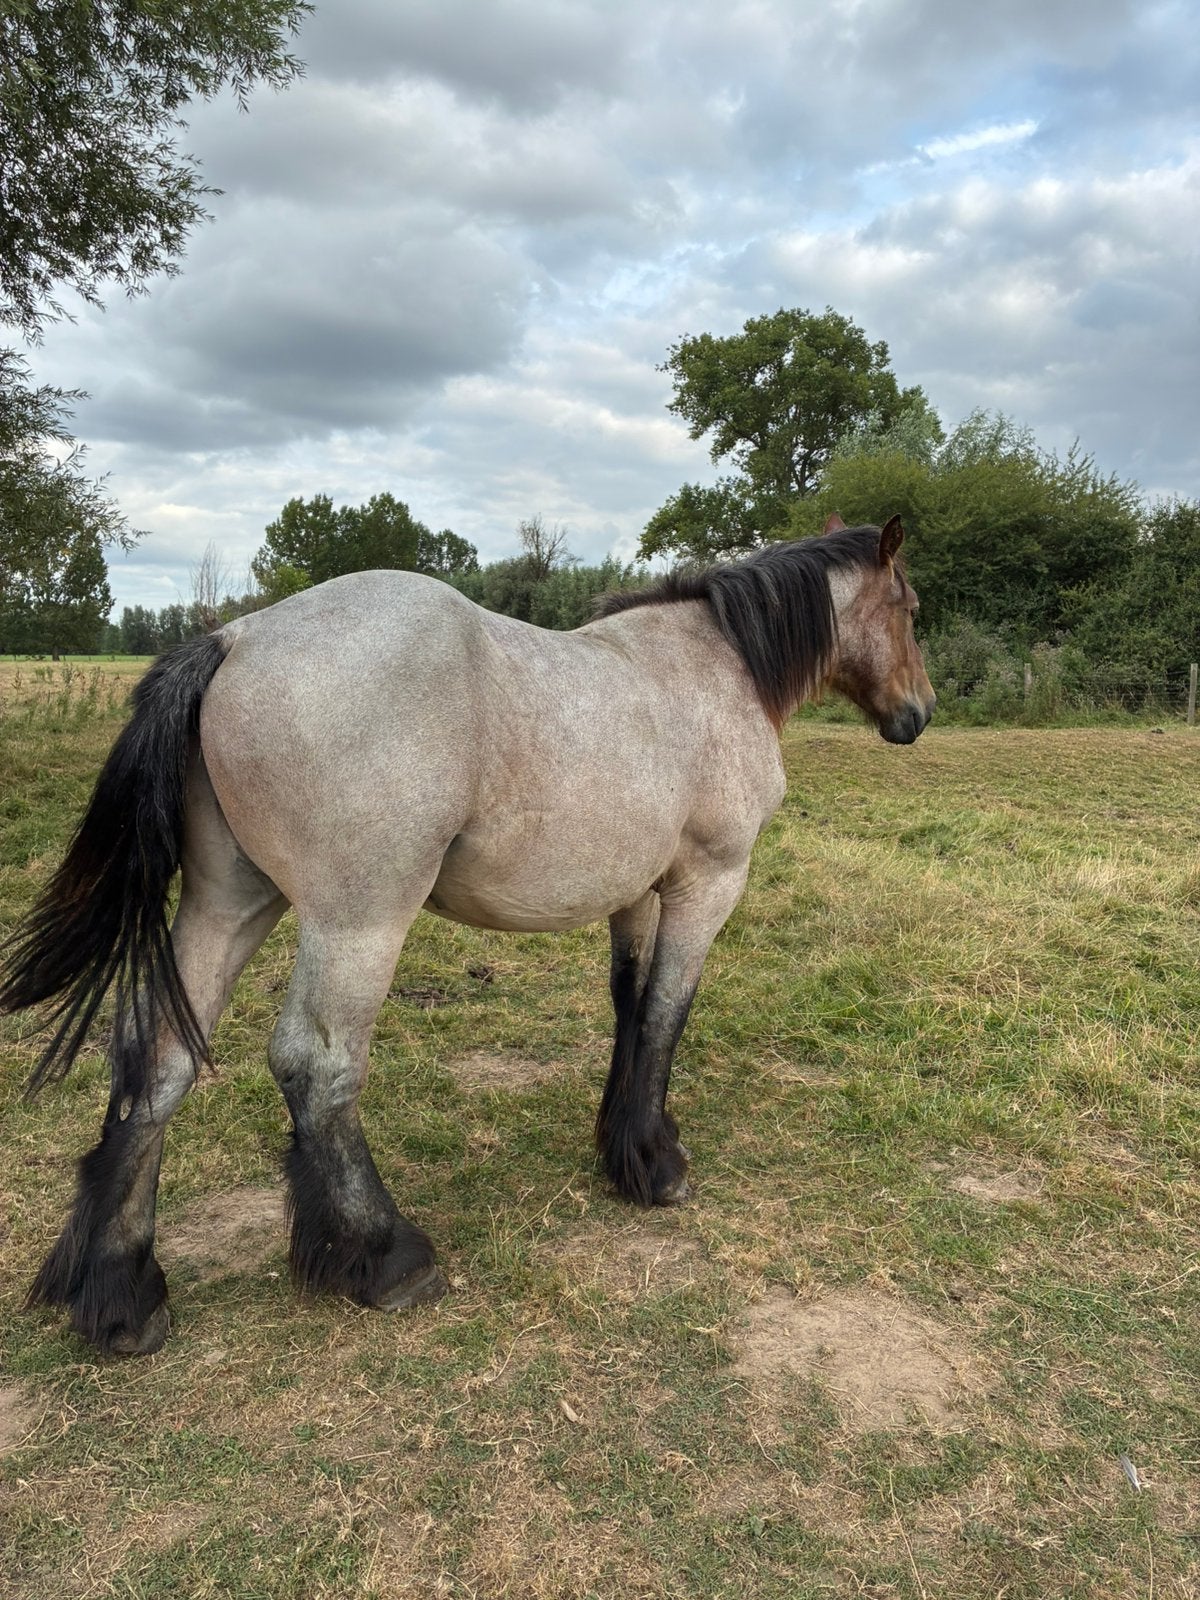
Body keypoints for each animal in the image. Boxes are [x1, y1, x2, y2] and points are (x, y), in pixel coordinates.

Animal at [0, 515, 934, 1355]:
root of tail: (234, 638)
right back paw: (385, 1256)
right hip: (359, 919)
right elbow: (669, 1013)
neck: (717, 666)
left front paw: (615, 1146)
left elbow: (630, 1007)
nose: (918, 715)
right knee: (316, 1066)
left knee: (157, 1057)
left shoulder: (634, 893)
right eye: (912, 606)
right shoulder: (709, 884)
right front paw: (656, 1163)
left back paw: (120, 1293)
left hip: (229, 903)